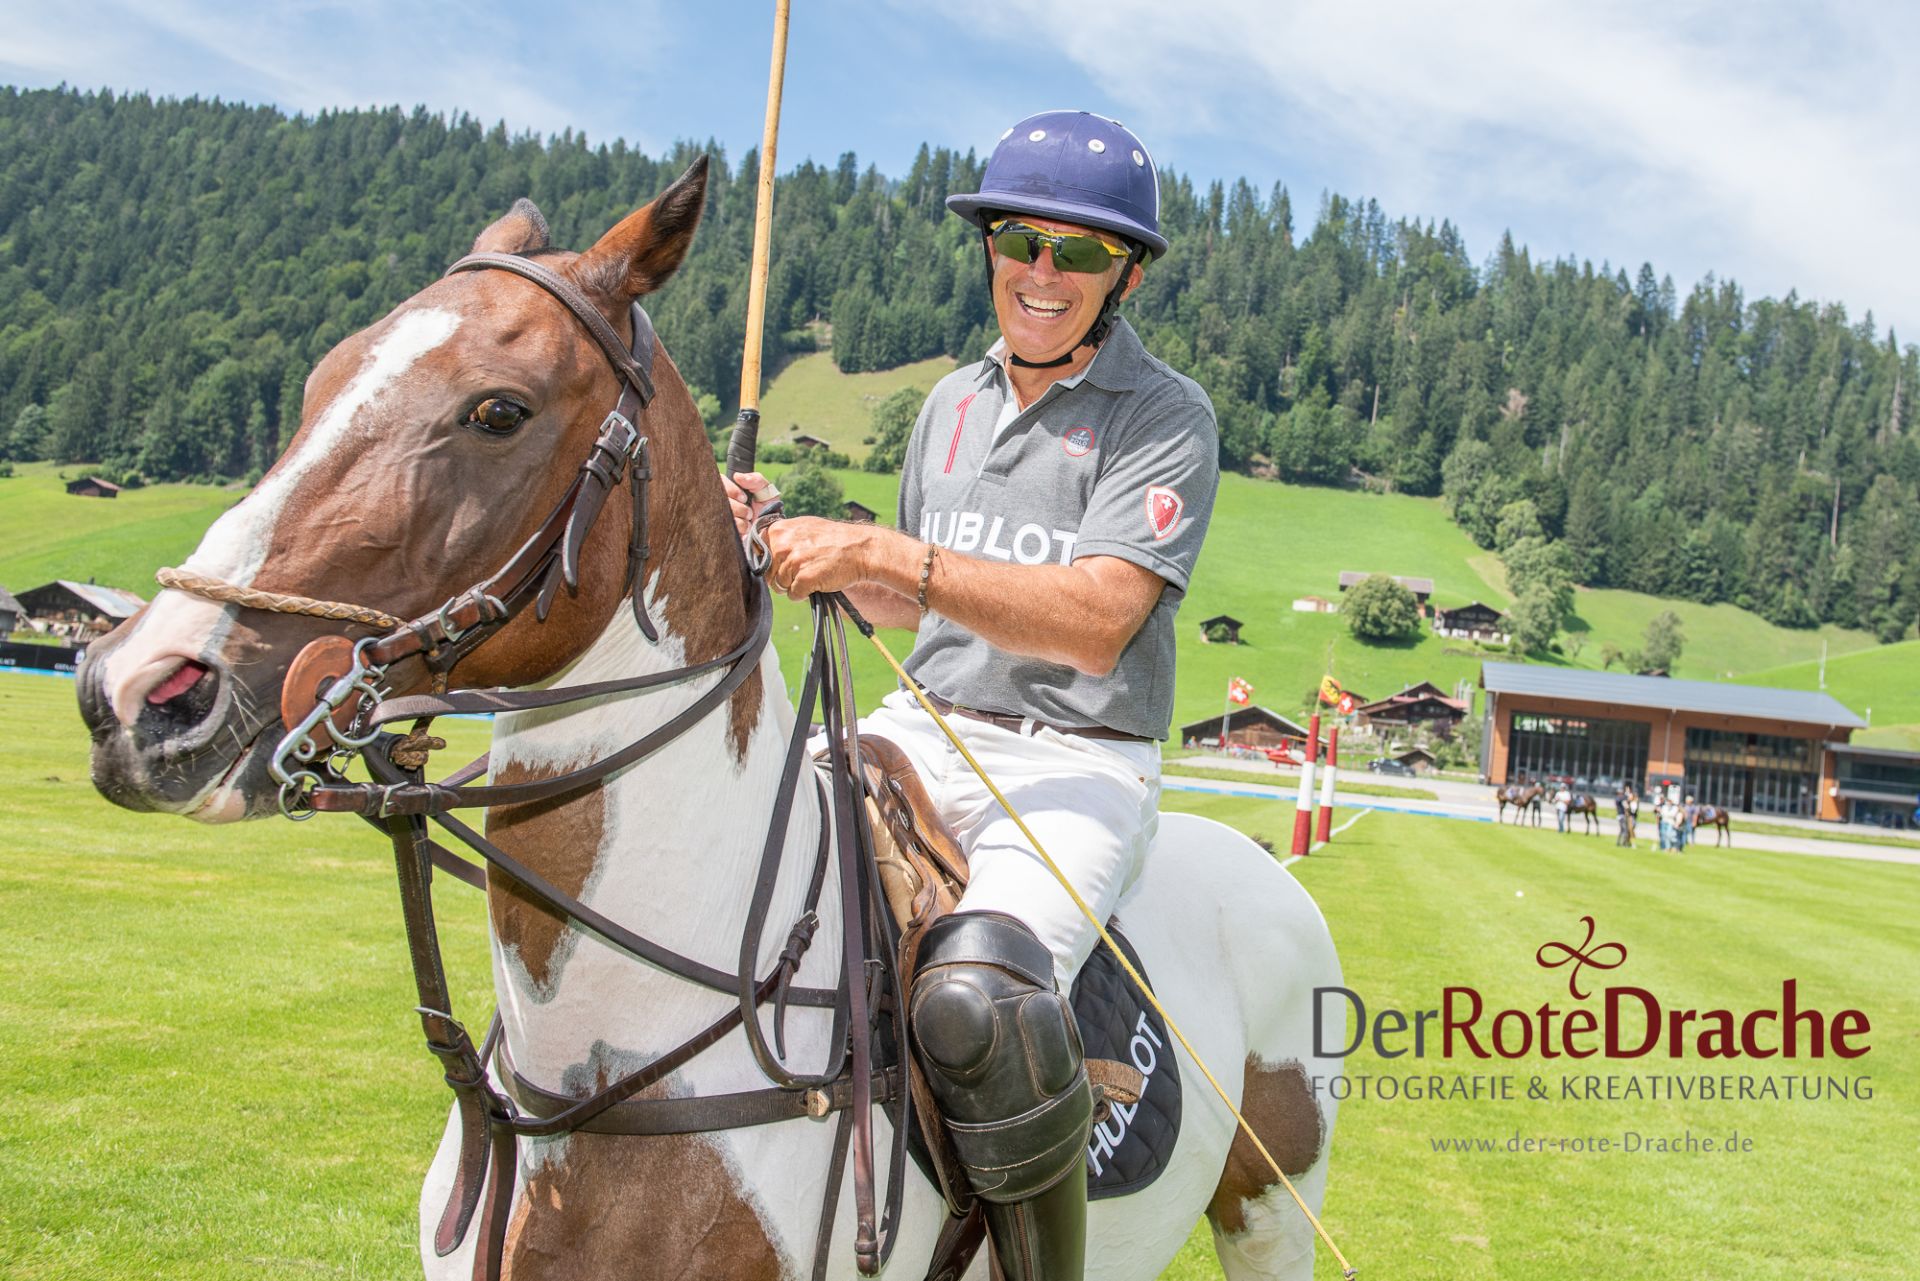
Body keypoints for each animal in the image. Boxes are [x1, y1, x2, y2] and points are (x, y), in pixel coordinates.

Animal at [75, 163, 1344, 1281]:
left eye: (499, 410)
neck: (609, 1076)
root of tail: (1257, 860)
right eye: (318, 382)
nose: (140, 693)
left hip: (1275, 1205)